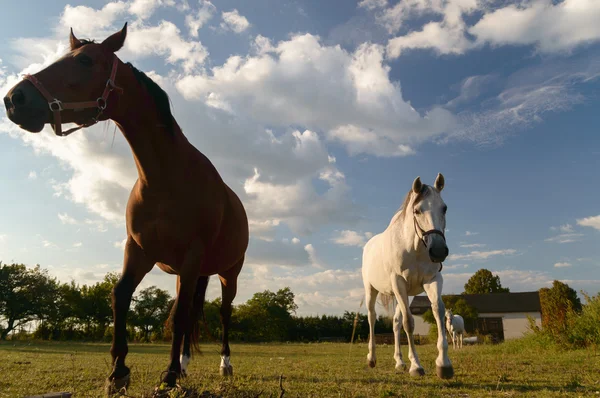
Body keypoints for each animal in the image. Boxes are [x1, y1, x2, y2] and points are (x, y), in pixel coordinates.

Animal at [2, 24, 248, 394]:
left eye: (86, 60)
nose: (15, 99)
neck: (166, 177)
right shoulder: (139, 251)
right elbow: (121, 297)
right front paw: (119, 371)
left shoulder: (191, 256)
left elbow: (179, 317)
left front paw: (168, 377)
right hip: (189, 275)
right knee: (190, 309)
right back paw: (184, 364)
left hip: (227, 273)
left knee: (223, 313)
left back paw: (224, 364)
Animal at [358, 175, 452, 380]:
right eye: (417, 210)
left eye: (444, 208)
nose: (438, 251)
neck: (414, 247)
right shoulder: (398, 282)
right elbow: (409, 323)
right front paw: (416, 366)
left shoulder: (433, 280)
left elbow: (438, 311)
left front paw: (444, 364)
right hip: (372, 290)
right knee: (371, 318)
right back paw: (372, 358)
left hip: (402, 294)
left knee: (395, 323)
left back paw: (399, 362)